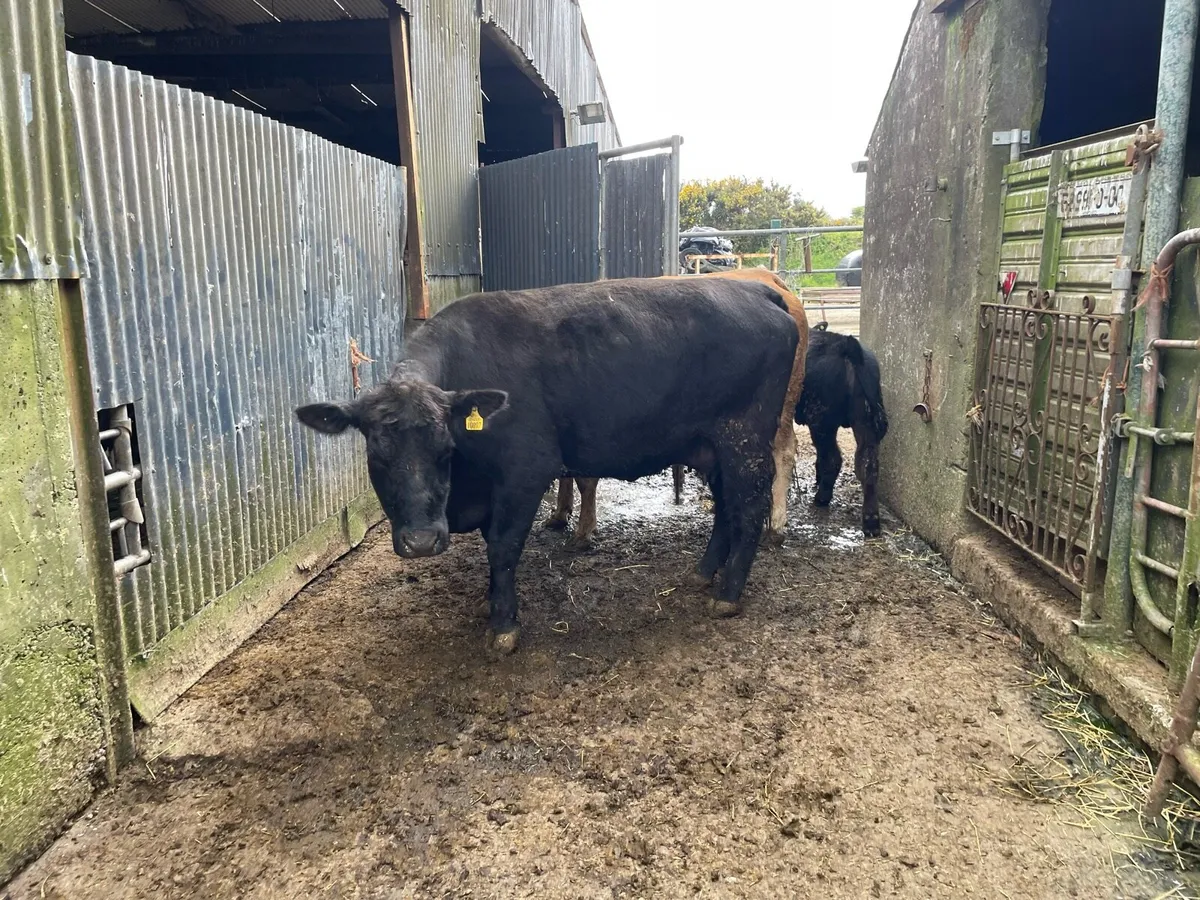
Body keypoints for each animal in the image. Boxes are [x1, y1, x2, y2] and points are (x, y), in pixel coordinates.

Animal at [547, 268, 810, 548]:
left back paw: (776, 526)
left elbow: (584, 479)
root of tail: (768, 277)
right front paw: (560, 514)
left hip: (774, 409)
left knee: (782, 453)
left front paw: (583, 531)